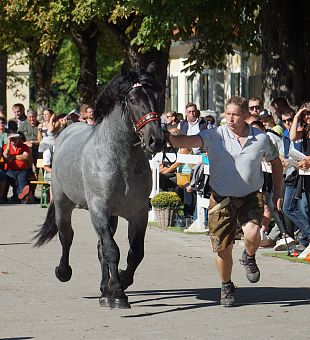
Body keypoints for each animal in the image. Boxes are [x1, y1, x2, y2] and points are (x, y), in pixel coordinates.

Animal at [33, 62, 165, 310]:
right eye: (132, 100)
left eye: (157, 96)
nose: (156, 140)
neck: (121, 161)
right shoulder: (98, 209)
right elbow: (112, 250)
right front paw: (119, 295)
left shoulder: (138, 213)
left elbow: (135, 253)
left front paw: (120, 281)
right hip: (64, 203)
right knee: (67, 236)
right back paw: (65, 272)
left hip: (111, 216)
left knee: (100, 248)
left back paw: (105, 290)